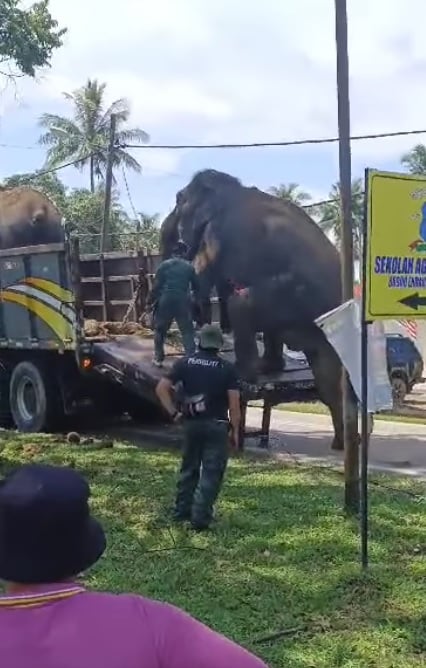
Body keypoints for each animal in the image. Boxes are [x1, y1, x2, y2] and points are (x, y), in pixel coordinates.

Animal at [161, 167, 362, 452]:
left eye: (179, 198)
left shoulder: (215, 234)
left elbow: (204, 277)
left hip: (288, 296)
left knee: (242, 305)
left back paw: (246, 373)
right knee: (328, 378)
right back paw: (341, 444)